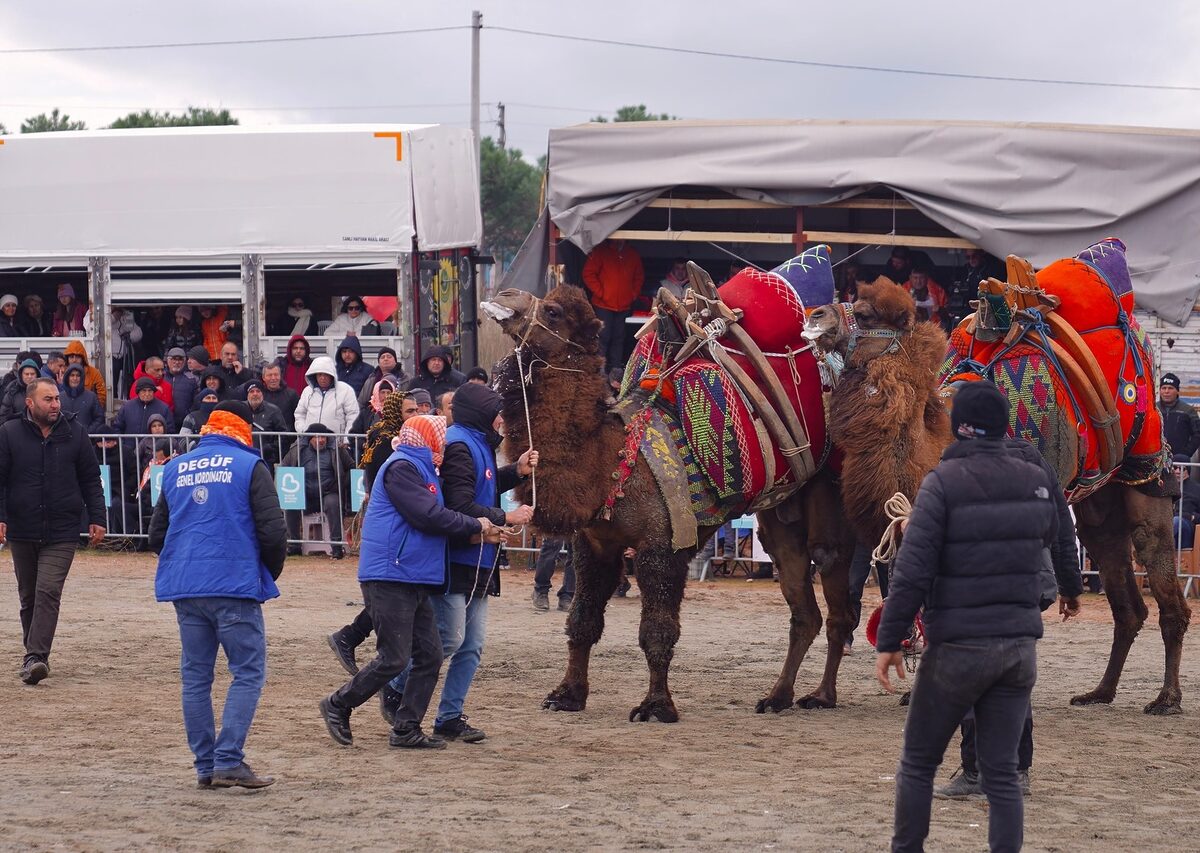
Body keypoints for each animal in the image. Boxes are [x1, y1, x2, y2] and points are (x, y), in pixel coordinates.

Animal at [482, 285, 859, 719]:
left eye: (554, 311)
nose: (507, 293)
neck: (612, 460)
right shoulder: (594, 545)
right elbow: (582, 621)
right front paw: (567, 695)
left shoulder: (662, 546)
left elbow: (657, 631)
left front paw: (656, 706)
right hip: (781, 518)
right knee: (804, 612)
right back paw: (777, 696)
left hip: (830, 497)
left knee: (835, 592)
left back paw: (822, 696)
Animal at [801, 274, 1185, 715]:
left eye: (863, 314)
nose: (815, 314)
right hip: (1098, 505)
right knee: (1126, 602)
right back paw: (1099, 692)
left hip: (1146, 474)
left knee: (1165, 588)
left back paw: (1166, 698)